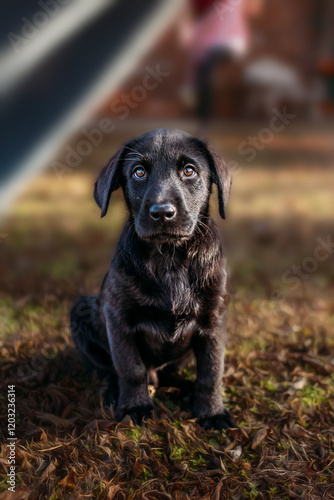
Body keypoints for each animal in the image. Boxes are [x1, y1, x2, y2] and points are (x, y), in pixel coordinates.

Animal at [70, 128, 235, 430]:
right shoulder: (118, 317)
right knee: (107, 370)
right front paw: (135, 406)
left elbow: (211, 372)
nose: (162, 213)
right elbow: (130, 368)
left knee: (172, 373)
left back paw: (186, 390)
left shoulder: (214, 320)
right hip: (79, 311)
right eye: (139, 172)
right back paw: (114, 392)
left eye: (189, 171)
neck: (169, 258)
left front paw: (211, 412)